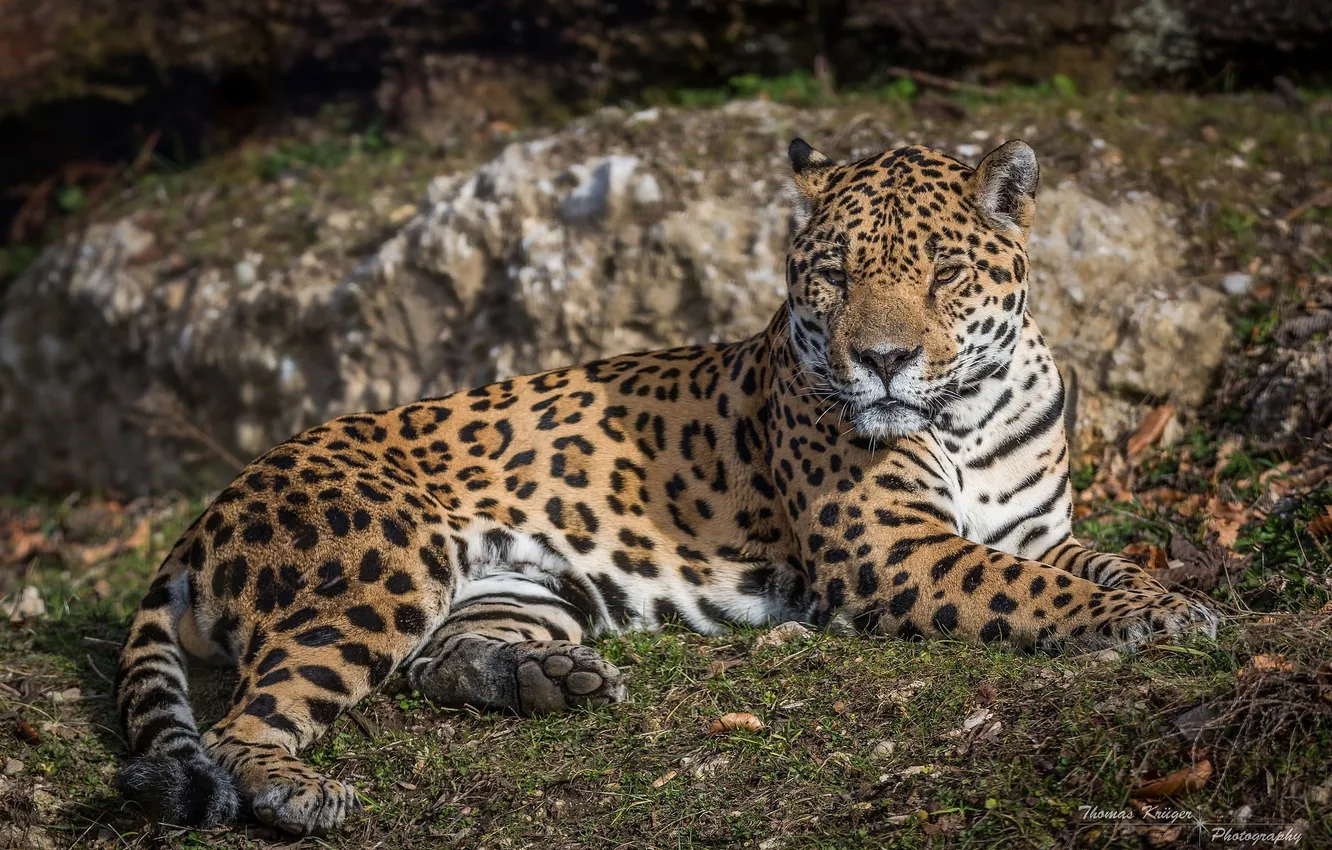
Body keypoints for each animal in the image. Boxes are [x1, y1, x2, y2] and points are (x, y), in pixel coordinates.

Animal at [114, 137, 1219, 835]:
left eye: (946, 272)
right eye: (832, 276)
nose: (883, 360)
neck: (969, 410)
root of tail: (207, 512)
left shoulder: (1038, 529)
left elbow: (1097, 565)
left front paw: (1178, 597)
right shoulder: (891, 550)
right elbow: (1035, 592)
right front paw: (1156, 620)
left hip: (520, 583)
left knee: (439, 657)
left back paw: (550, 680)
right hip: (384, 563)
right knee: (243, 723)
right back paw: (295, 794)